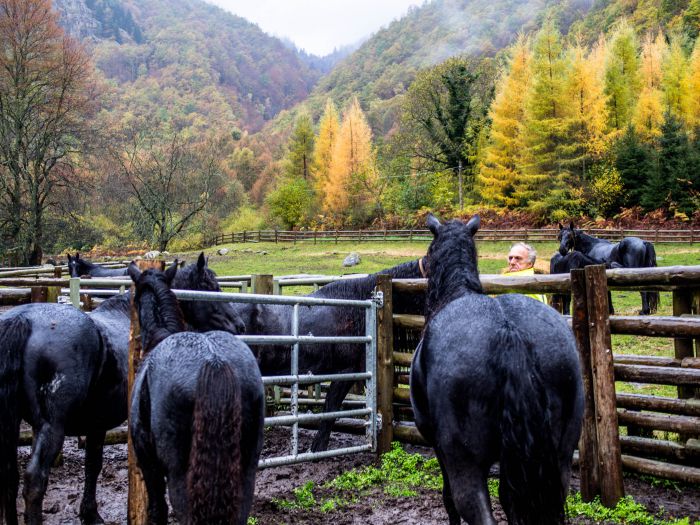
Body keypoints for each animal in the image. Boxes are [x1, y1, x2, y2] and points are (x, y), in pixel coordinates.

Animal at [0, 255, 246, 524]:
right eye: (210, 287)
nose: (240, 325)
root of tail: (23, 320)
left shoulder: (96, 423)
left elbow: (93, 465)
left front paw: (90, 512)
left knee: (9, 477)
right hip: (50, 427)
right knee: (34, 481)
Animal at [129, 262, 266, 524]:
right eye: (212, 287)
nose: (239, 325)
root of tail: (214, 361)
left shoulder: (148, 462)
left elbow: (157, 510)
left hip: (179, 476)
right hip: (246, 470)